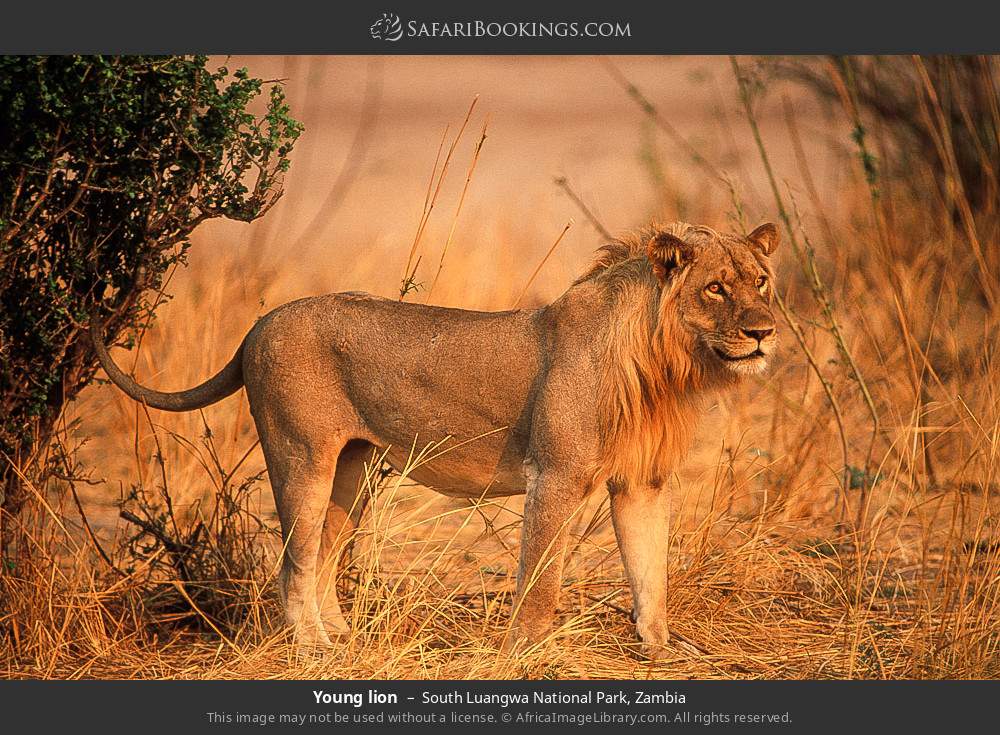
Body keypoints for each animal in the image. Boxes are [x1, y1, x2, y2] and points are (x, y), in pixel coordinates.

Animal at [91, 221, 779, 658]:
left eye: (761, 282)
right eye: (716, 287)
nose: (765, 331)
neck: (665, 367)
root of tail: (258, 325)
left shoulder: (643, 483)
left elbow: (649, 570)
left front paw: (662, 647)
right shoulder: (554, 476)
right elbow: (541, 578)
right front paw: (528, 652)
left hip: (350, 471)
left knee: (323, 555)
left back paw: (341, 635)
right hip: (301, 456)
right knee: (293, 562)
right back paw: (313, 647)